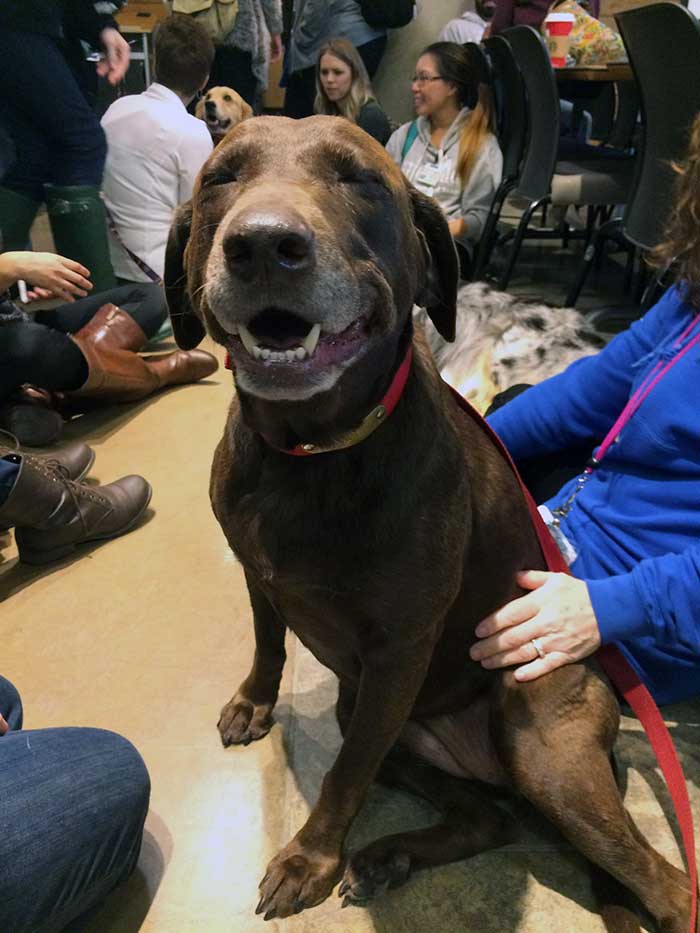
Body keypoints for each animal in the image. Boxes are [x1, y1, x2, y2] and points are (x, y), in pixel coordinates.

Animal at [165, 116, 696, 932]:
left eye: (359, 178)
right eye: (222, 176)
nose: (262, 244)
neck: (312, 452)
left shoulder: (397, 655)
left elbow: (344, 776)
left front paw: (308, 859)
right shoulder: (263, 579)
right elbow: (268, 642)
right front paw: (255, 701)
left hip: (543, 754)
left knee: (668, 888)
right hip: (382, 717)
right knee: (488, 820)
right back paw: (390, 856)